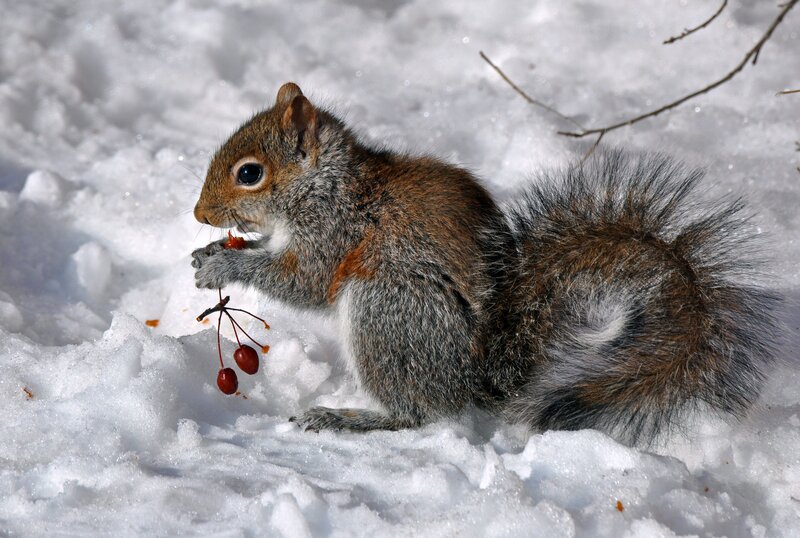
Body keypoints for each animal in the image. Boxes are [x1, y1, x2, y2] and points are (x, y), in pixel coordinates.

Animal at [192, 82, 779, 445]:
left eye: (249, 173)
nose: (199, 215)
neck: (326, 185)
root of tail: (476, 377)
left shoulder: (336, 233)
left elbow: (304, 281)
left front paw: (224, 268)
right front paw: (209, 254)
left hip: (388, 310)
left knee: (416, 413)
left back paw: (345, 418)